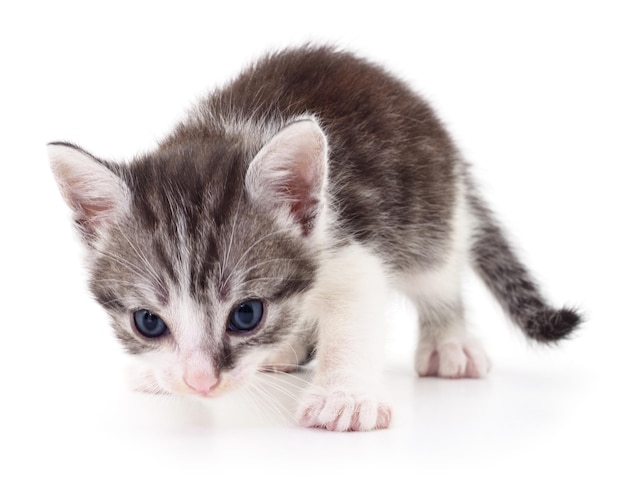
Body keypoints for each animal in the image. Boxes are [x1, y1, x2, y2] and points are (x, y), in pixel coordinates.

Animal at [48, 46, 580, 432]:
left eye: (246, 314)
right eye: (147, 323)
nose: (199, 382)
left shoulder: (351, 247)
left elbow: (354, 316)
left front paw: (345, 397)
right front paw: (157, 372)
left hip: (430, 209)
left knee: (439, 272)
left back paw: (449, 341)